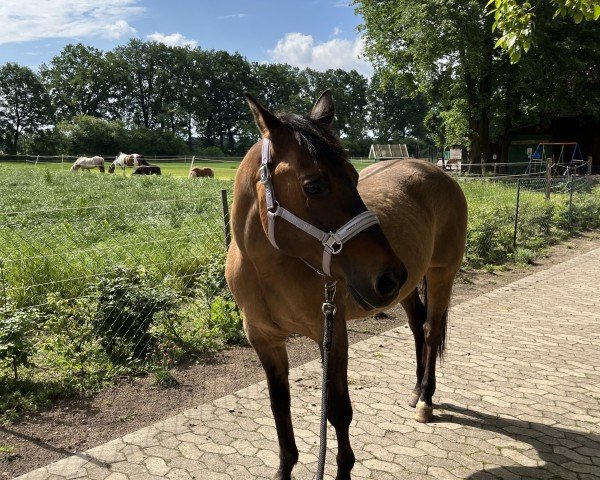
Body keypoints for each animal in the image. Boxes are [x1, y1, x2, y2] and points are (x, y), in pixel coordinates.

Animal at [225, 91, 468, 480]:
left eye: (355, 176)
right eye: (314, 186)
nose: (389, 275)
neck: (266, 270)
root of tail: (437, 172)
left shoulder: (333, 335)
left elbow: (338, 412)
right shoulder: (265, 341)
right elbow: (280, 407)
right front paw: (283, 469)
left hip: (441, 274)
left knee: (431, 331)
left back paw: (426, 401)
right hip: (407, 288)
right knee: (417, 326)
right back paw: (416, 390)